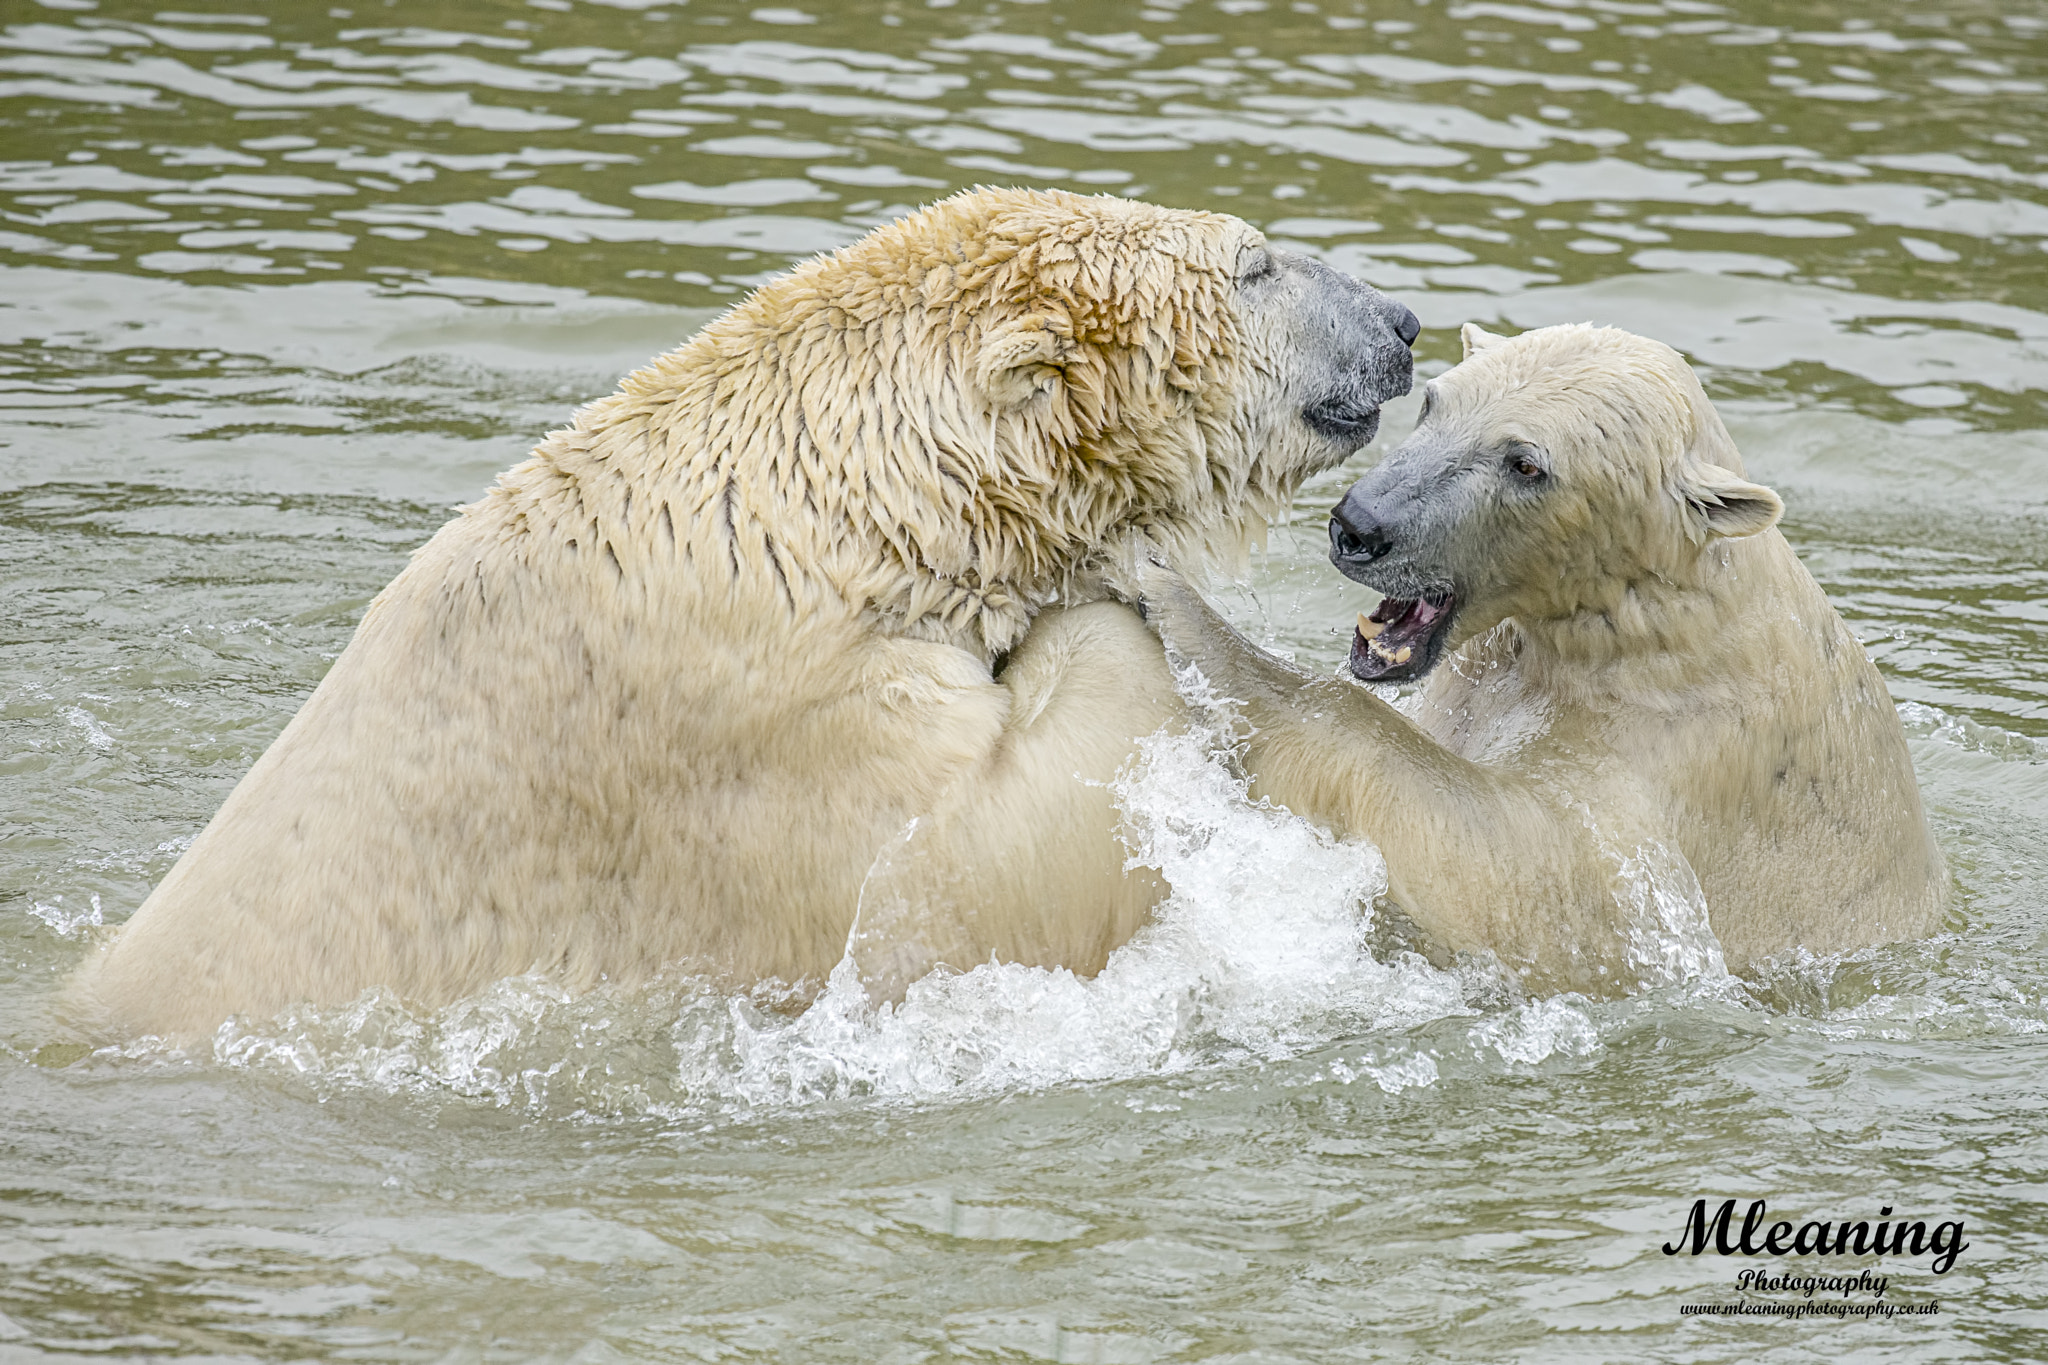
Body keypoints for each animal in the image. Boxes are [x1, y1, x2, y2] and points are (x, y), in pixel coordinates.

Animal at [75, 184, 1425, 1035]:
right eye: (1254, 263)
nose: (1402, 322)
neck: (839, 502)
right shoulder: (771, 730)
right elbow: (980, 877)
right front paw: (1116, 587)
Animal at [1146, 325, 1941, 998]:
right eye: (1433, 402)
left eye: (1526, 462)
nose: (1360, 527)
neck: (1647, 629)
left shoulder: (1689, 767)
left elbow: (1517, 879)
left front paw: (1173, 596)